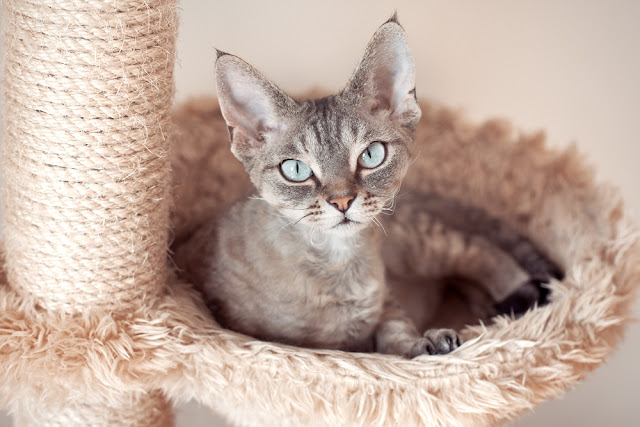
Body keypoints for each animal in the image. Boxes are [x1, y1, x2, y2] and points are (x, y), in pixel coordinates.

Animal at [175, 15, 560, 360]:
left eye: (371, 155)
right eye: (296, 170)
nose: (342, 201)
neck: (340, 263)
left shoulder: (388, 302)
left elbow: (395, 330)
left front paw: (422, 343)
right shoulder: (289, 341)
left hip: (422, 243)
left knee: (479, 250)